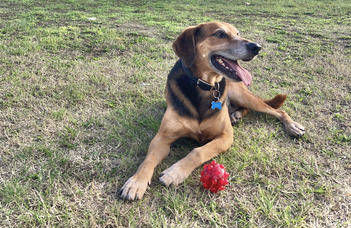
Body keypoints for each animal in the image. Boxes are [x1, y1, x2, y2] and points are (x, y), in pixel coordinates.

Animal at [120, 21, 306, 200]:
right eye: (220, 34)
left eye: (238, 33)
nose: (257, 47)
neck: (204, 86)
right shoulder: (162, 138)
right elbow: (147, 160)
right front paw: (136, 182)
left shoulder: (226, 137)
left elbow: (197, 152)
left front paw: (174, 172)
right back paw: (236, 114)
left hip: (241, 95)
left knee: (276, 111)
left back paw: (292, 126)